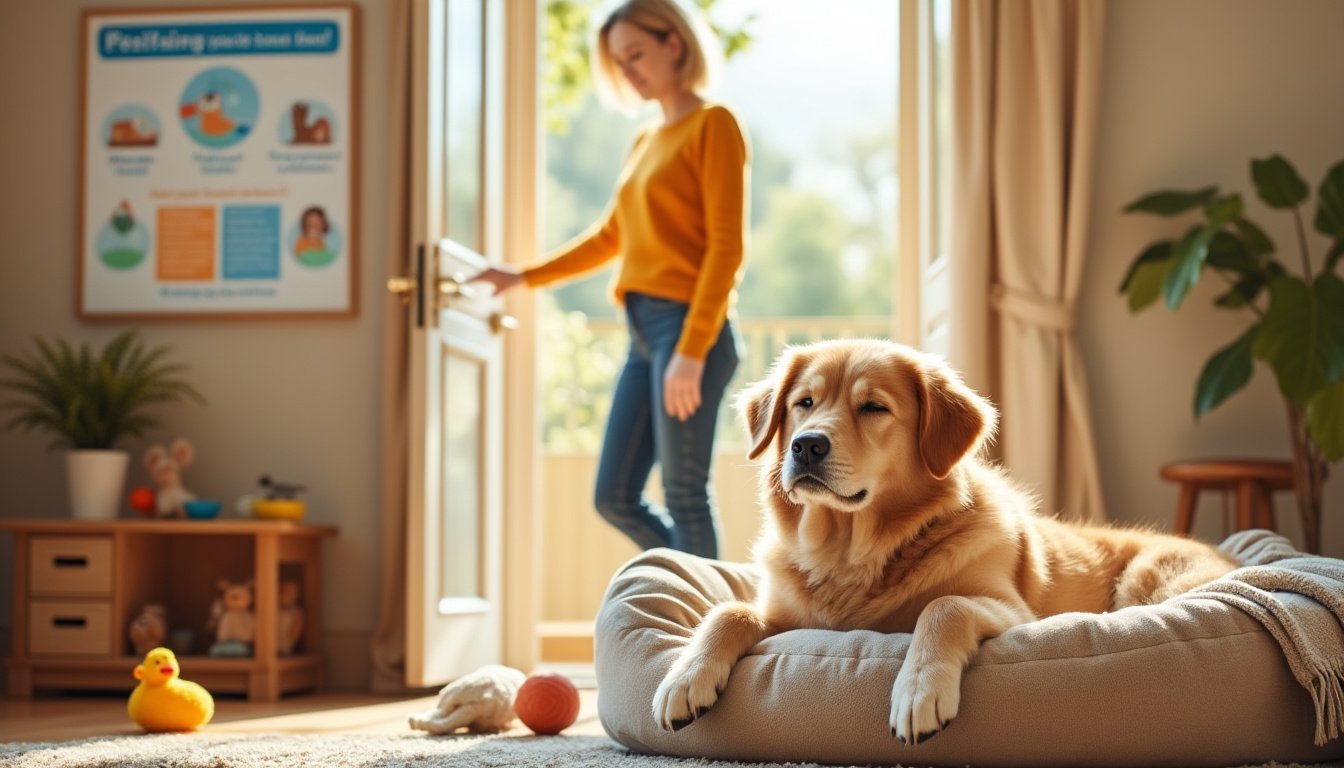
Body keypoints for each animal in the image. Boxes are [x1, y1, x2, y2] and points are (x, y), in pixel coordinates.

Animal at [650, 337, 1236, 747]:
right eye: (803, 402)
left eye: (873, 408)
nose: (806, 445)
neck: (852, 550)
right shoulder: (787, 613)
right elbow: (728, 611)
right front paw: (684, 678)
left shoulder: (1012, 611)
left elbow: (944, 605)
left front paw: (918, 691)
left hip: (1147, 577)